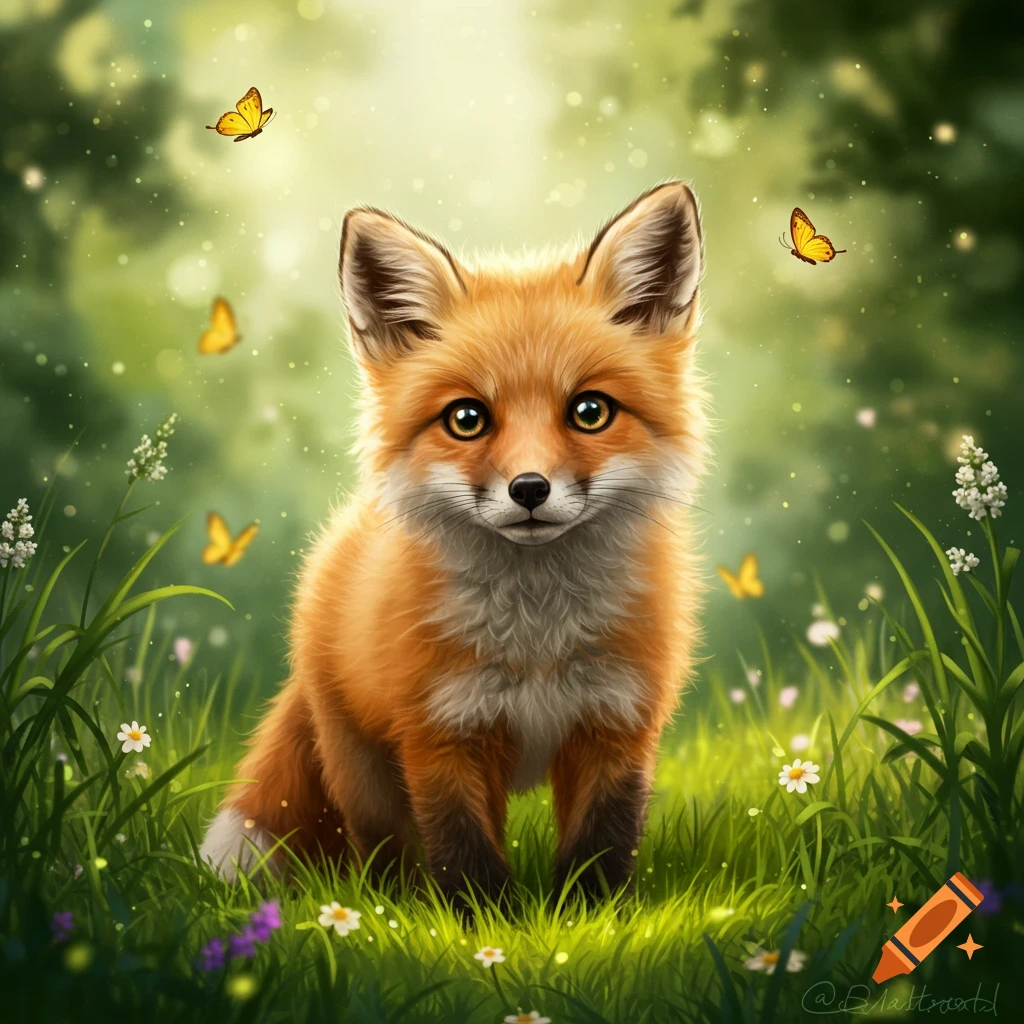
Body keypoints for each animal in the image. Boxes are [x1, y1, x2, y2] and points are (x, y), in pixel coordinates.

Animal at [199, 180, 708, 907]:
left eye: (590, 411)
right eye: (467, 419)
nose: (530, 489)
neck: (537, 636)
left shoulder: (617, 724)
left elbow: (599, 847)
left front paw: (587, 918)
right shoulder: (442, 732)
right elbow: (465, 856)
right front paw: (479, 924)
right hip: (363, 766)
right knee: (385, 850)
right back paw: (392, 905)